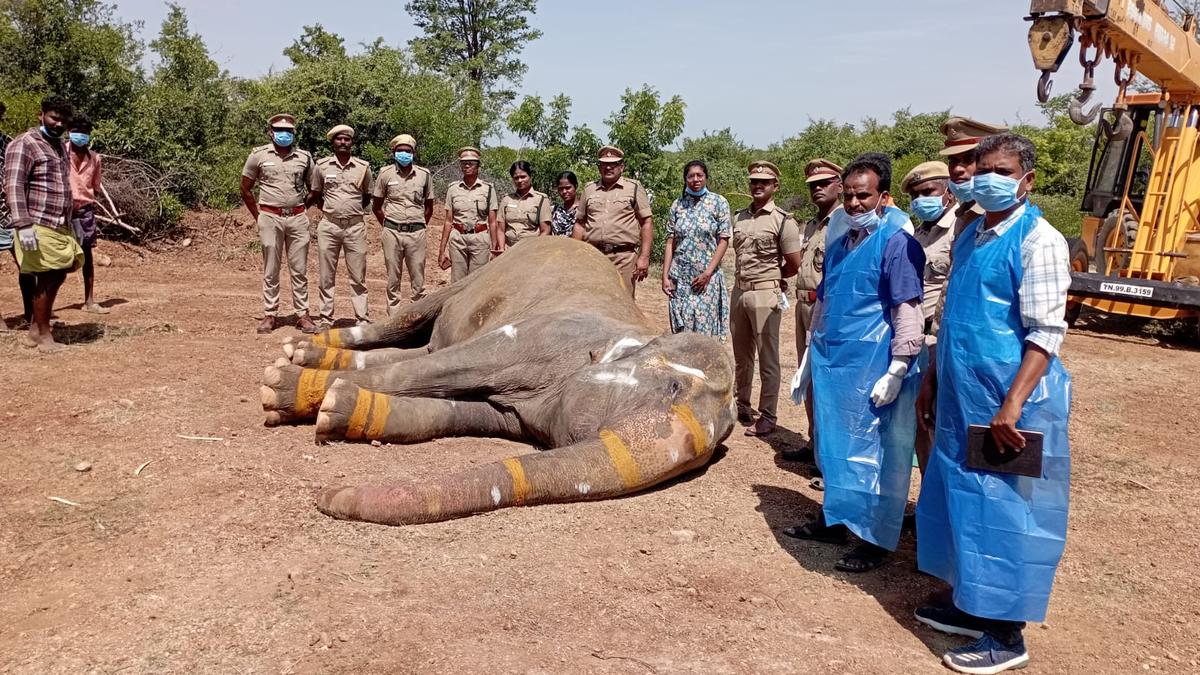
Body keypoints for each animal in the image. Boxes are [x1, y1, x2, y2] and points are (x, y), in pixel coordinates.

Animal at [258, 236, 734, 526]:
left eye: (717, 446)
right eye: (673, 388)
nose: (326, 495)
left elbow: (462, 410)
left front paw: (335, 407)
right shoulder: (541, 336)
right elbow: (458, 365)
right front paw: (280, 388)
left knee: (419, 349)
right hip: (477, 274)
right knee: (410, 323)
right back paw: (299, 349)